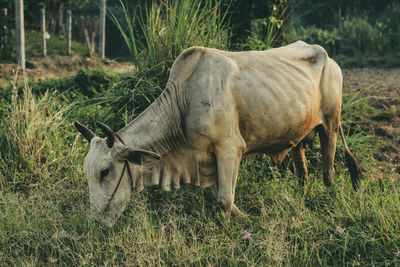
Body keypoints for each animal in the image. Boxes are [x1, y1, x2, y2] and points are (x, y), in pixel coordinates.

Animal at [74, 40, 360, 225]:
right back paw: (300, 199)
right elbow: (220, 199)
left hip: (331, 124)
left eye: (105, 171)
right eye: (87, 173)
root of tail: (328, 56)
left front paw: (250, 222)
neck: (183, 102)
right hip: (298, 134)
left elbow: (225, 200)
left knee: (329, 171)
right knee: (303, 173)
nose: (95, 221)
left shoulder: (231, 148)